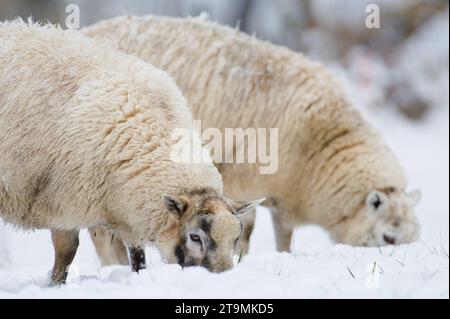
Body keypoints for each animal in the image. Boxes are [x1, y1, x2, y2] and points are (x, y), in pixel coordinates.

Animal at [0, 20, 262, 284]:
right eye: (195, 237)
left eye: (236, 238)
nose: (222, 278)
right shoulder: (64, 199)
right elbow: (67, 251)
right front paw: (56, 286)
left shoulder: (129, 213)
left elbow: (138, 257)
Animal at [83, 13, 422, 262]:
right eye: (388, 238)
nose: (398, 258)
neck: (319, 146)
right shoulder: (242, 180)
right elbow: (245, 229)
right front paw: (240, 257)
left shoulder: (282, 198)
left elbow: (284, 235)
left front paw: (284, 257)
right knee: (100, 234)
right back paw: (115, 266)